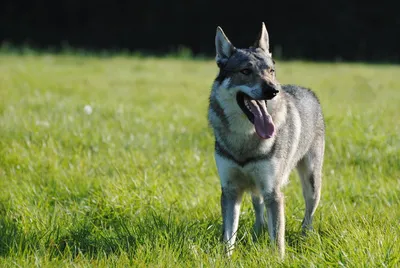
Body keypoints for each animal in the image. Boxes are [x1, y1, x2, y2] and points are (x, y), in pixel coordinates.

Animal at [208, 22, 324, 258]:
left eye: (271, 71)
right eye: (245, 71)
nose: (273, 90)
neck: (245, 139)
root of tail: (308, 91)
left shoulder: (274, 192)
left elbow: (277, 238)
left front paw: (278, 260)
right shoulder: (230, 190)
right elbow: (229, 236)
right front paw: (226, 259)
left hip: (311, 183)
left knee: (308, 215)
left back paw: (304, 237)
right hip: (257, 189)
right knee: (258, 210)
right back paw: (256, 233)